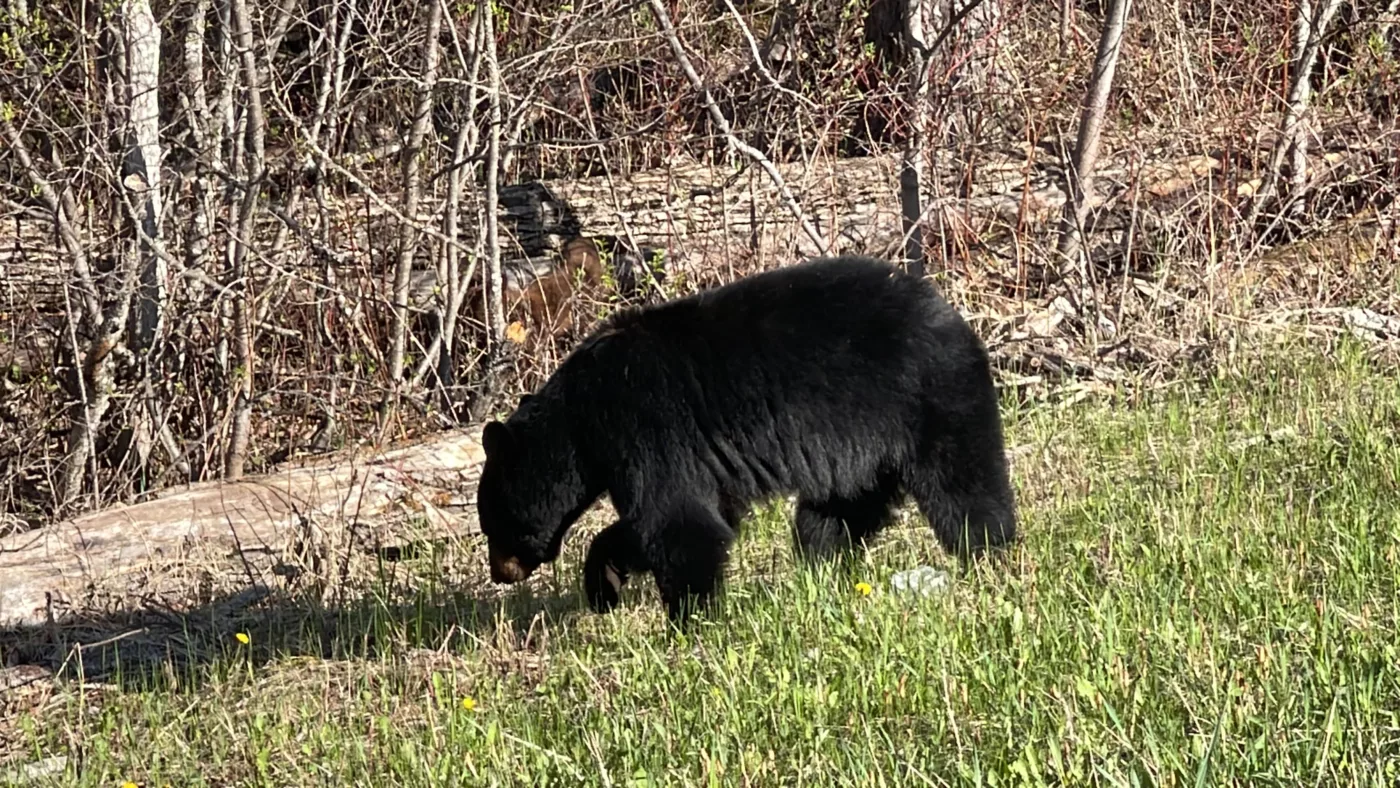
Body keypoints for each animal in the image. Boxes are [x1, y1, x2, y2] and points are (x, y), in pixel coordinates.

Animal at [476, 256, 1013, 627]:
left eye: (490, 523)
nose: (499, 573)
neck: (582, 420)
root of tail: (954, 316)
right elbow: (693, 517)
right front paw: (603, 584)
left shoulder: (647, 427)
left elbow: (679, 523)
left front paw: (690, 622)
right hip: (862, 459)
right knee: (829, 520)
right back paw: (822, 575)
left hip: (930, 403)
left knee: (965, 490)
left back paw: (991, 557)